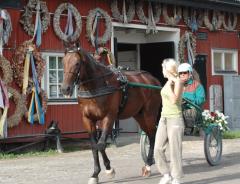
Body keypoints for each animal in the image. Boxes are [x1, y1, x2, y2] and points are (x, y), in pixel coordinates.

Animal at [61, 46, 161, 184]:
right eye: (63, 62)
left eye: (77, 63)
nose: (65, 88)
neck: (97, 85)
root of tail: (153, 80)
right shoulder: (87, 119)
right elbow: (94, 146)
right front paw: (95, 174)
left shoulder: (108, 117)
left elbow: (101, 144)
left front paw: (109, 169)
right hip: (139, 115)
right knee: (150, 134)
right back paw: (149, 163)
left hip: (149, 113)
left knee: (152, 135)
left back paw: (148, 166)